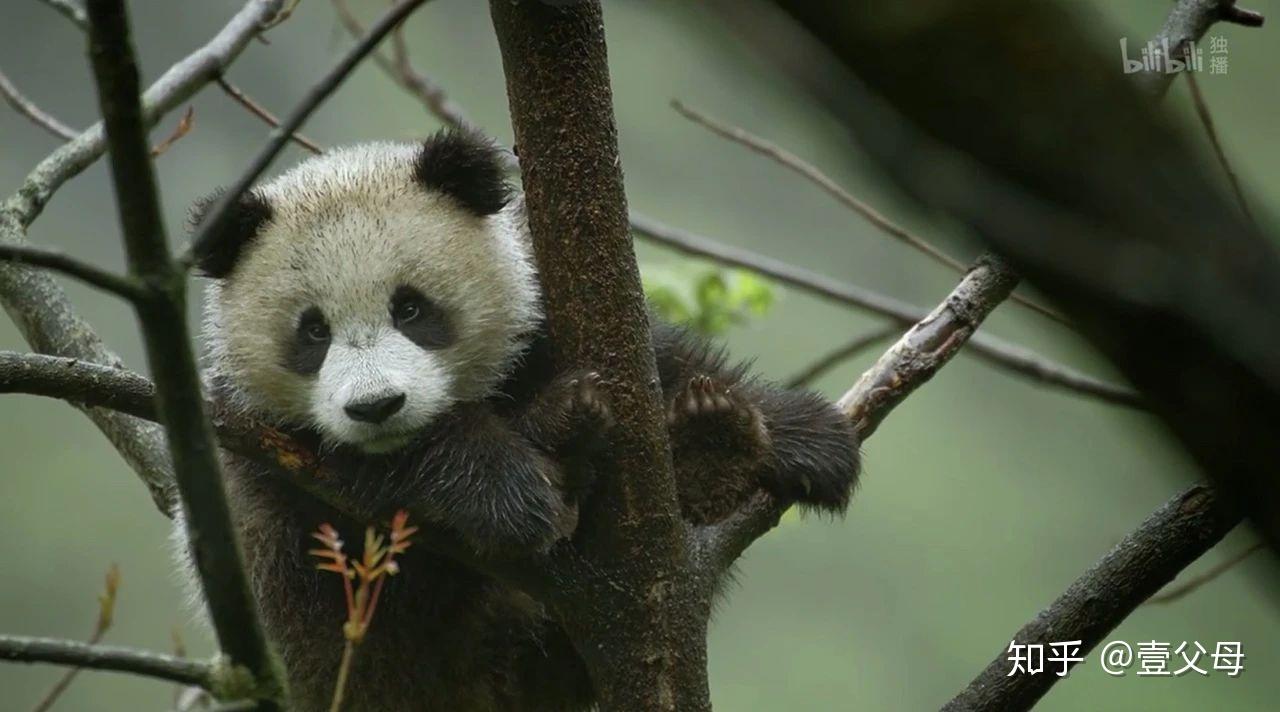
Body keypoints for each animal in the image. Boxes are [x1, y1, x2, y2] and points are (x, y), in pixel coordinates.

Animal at [180, 129, 860, 712]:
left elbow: (660, 362)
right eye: (313, 331)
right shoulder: (270, 456)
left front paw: (796, 434)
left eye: (411, 308)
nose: (377, 407)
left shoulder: (541, 312)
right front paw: (516, 488)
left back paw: (706, 449)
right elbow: (386, 475)